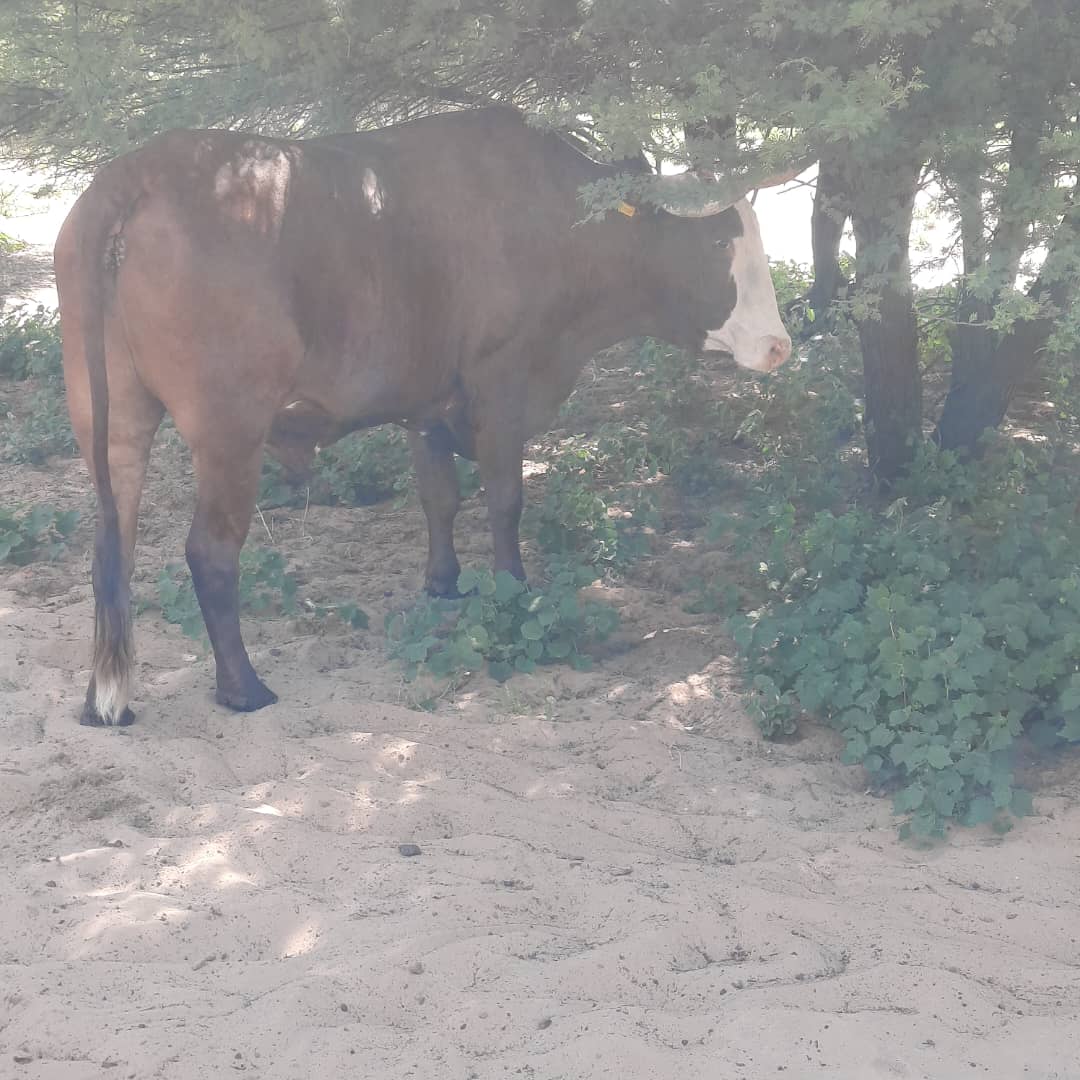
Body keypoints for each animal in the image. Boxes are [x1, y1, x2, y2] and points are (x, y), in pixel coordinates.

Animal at [54, 105, 793, 727]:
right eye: (719, 244)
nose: (778, 344)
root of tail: (135, 173)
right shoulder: (502, 381)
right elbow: (504, 500)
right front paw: (511, 591)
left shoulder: (428, 397)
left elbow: (440, 495)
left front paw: (444, 584)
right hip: (229, 427)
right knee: (210, 551)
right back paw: (244, 689)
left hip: (110, 420)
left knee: (110, 546)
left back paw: (103, 700)